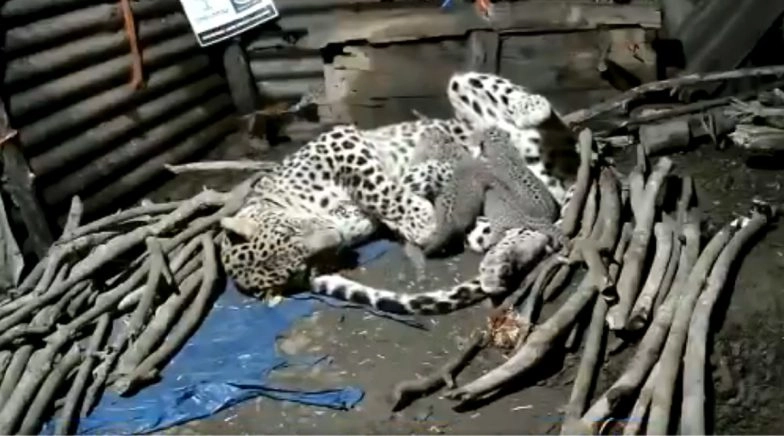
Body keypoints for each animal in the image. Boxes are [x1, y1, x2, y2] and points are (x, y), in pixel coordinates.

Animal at [218, 71, 580, 315]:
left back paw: (528, 109)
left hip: (475, 96)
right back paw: (498, 265)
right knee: (530, 229)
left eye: (291, 231)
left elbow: (379, 188)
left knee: (502, 96)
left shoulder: (342, 142)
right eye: (300, 263)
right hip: (506, 208)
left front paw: (420, 214)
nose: (334, 238)